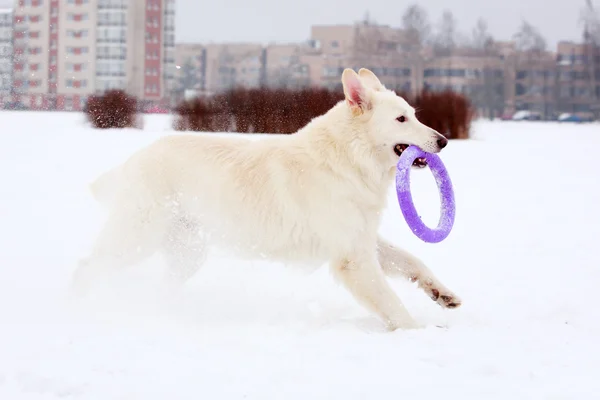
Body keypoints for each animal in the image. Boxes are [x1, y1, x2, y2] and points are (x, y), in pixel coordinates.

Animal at [72, 68, 462, 332]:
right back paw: (77, 306)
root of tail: (135, 158)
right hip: (137, 239)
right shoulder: (353, 259)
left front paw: (441, 294)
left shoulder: (363, 241)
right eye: (401, 119)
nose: (444, 141)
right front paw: (418, 333)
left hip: (187, 254)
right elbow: (393, 305)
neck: (348, 159)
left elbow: (413, 261)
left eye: (414, 115)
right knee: (88, 266)